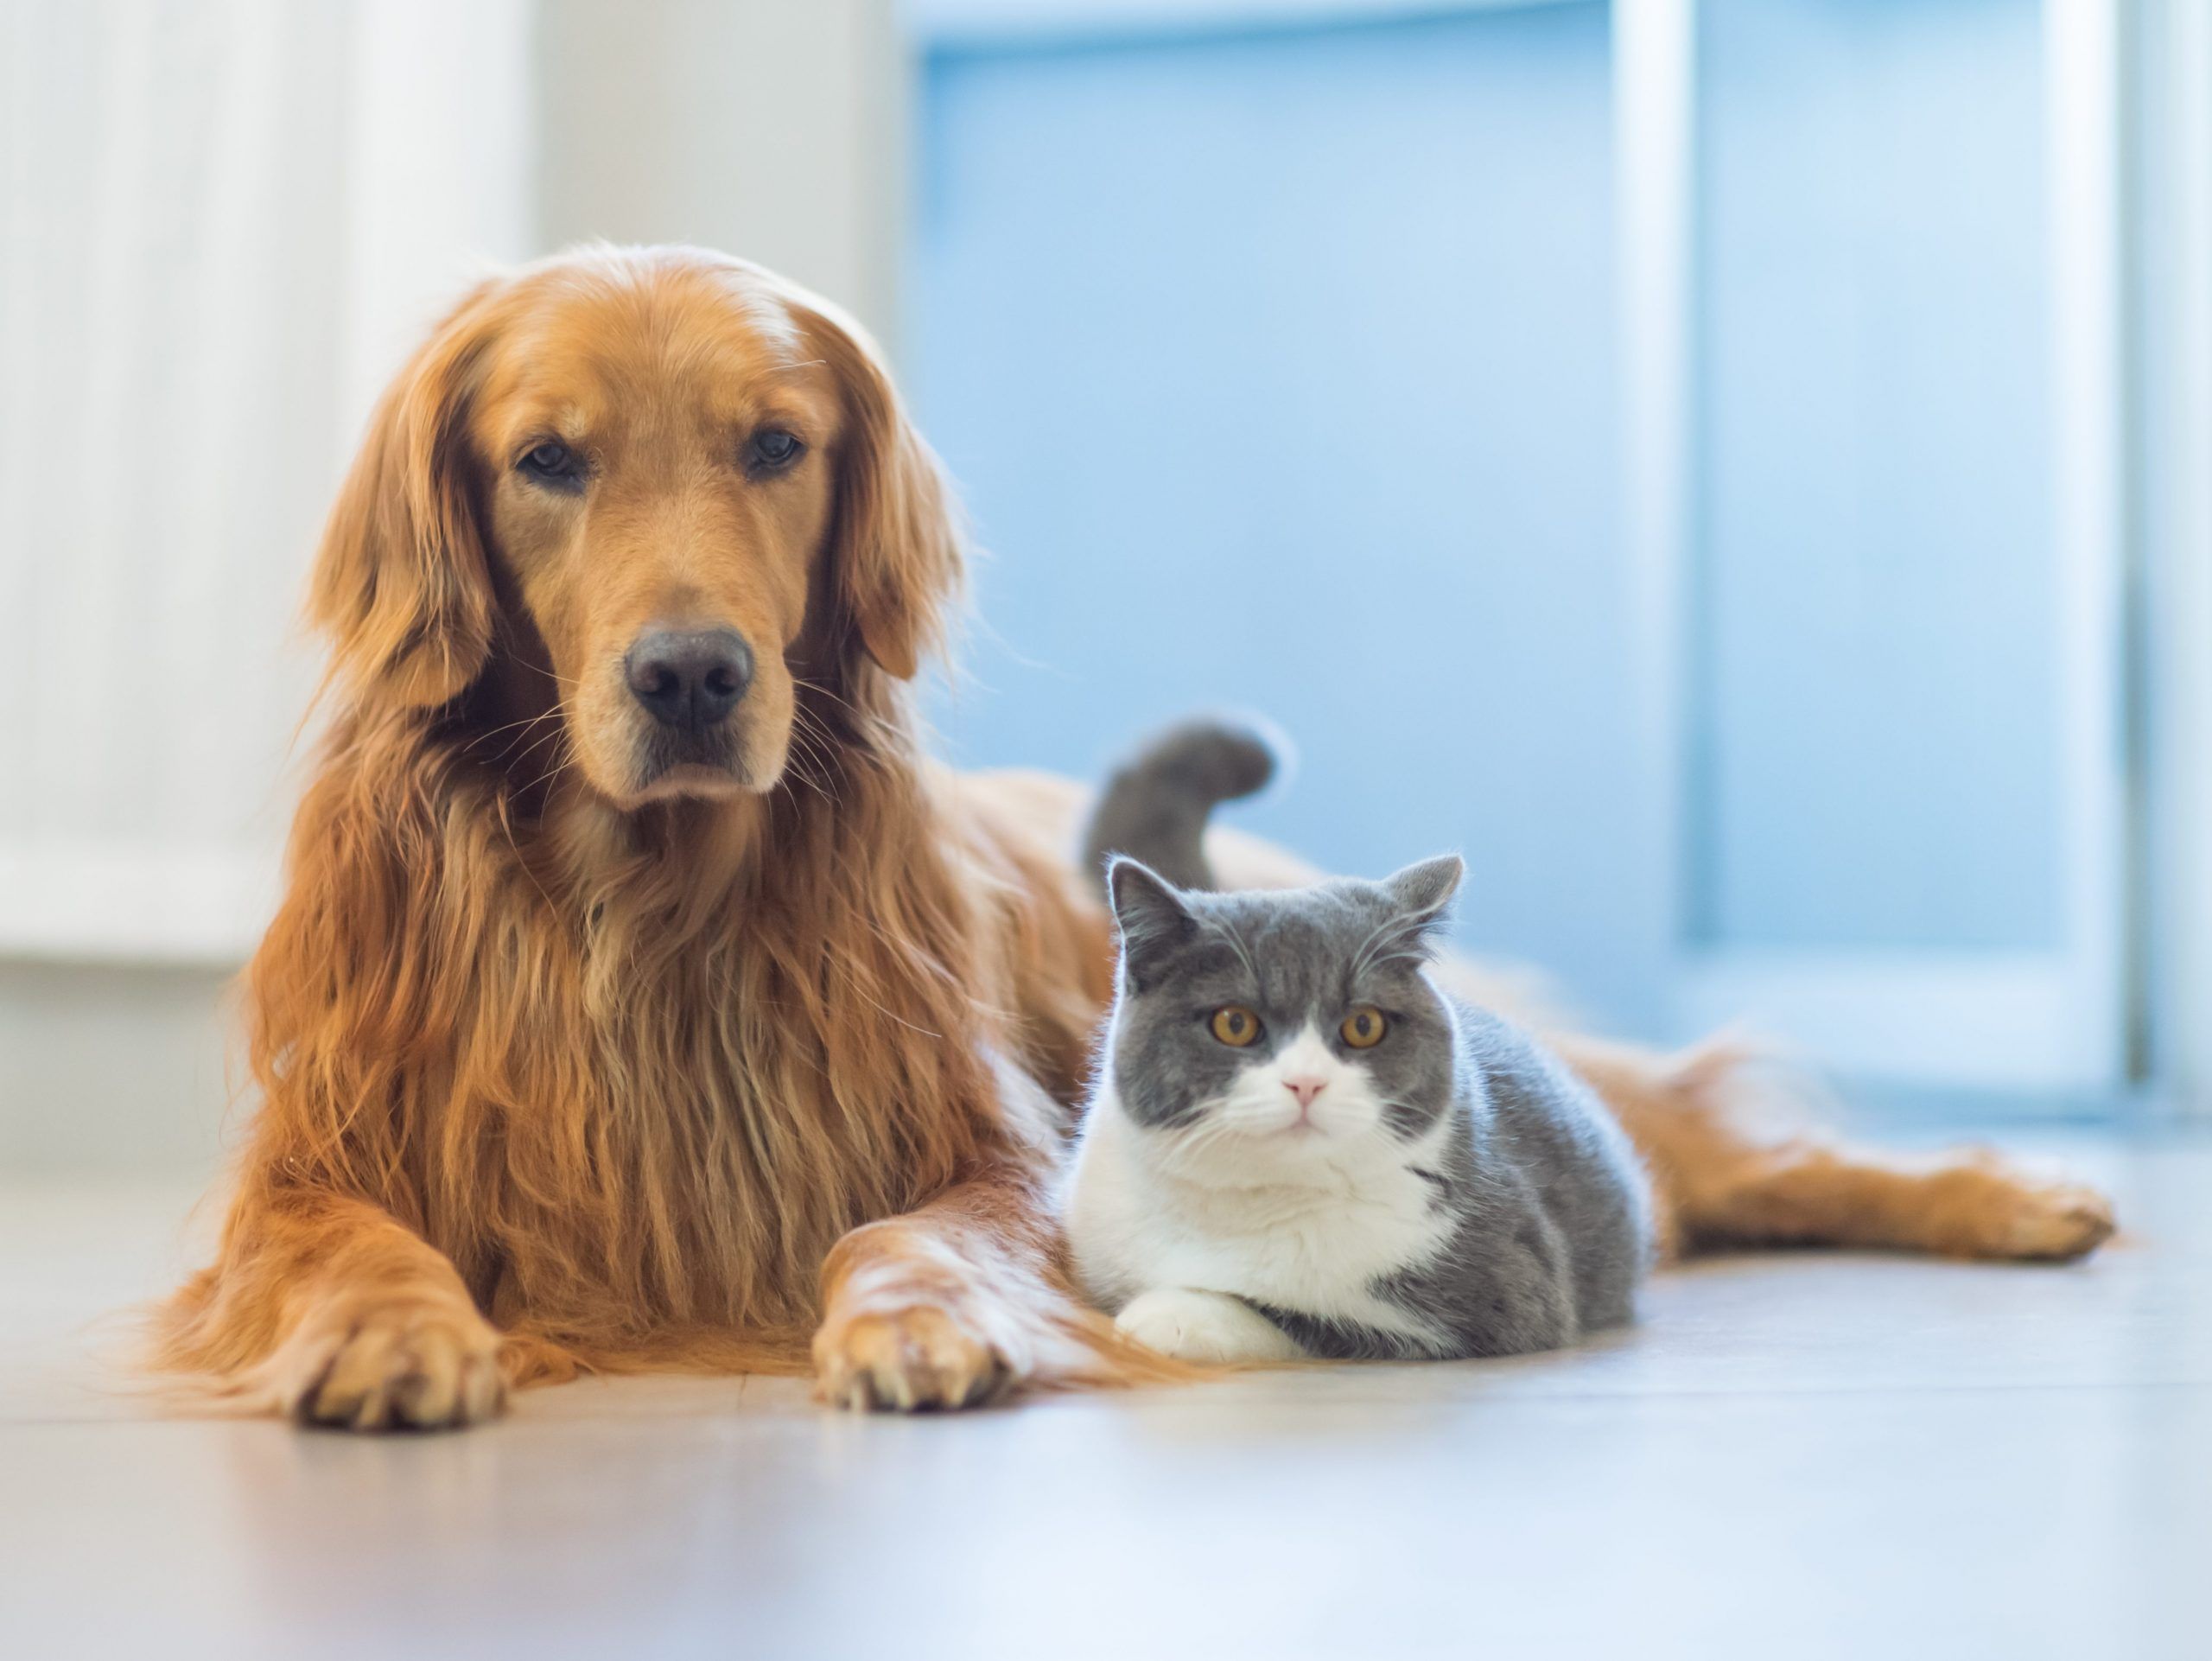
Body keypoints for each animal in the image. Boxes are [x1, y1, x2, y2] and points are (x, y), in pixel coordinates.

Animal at [1061, 725, 1654, 1362]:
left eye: (1363, 1026)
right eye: (1234, 1024)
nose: (1306, 1082)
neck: (1258, 1205)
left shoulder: (1512, 1289)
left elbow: (1304, 1315)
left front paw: (1173, 1314)